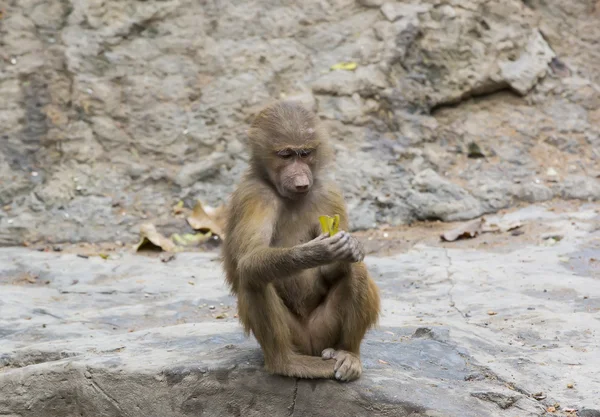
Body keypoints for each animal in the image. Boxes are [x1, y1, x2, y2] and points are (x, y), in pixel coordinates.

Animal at [223, 100, 382, 380]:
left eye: (305, 153)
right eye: (286, 155)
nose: (300, 180)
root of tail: (310, 346)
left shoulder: (328, 194)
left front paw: (348, 248)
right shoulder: (254, 195)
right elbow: (250, 257)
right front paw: (318, 251)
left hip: (324, 331)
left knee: (358, 271)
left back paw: (349, 354)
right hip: (296, 337)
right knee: (253, 276)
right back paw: (286, 363)